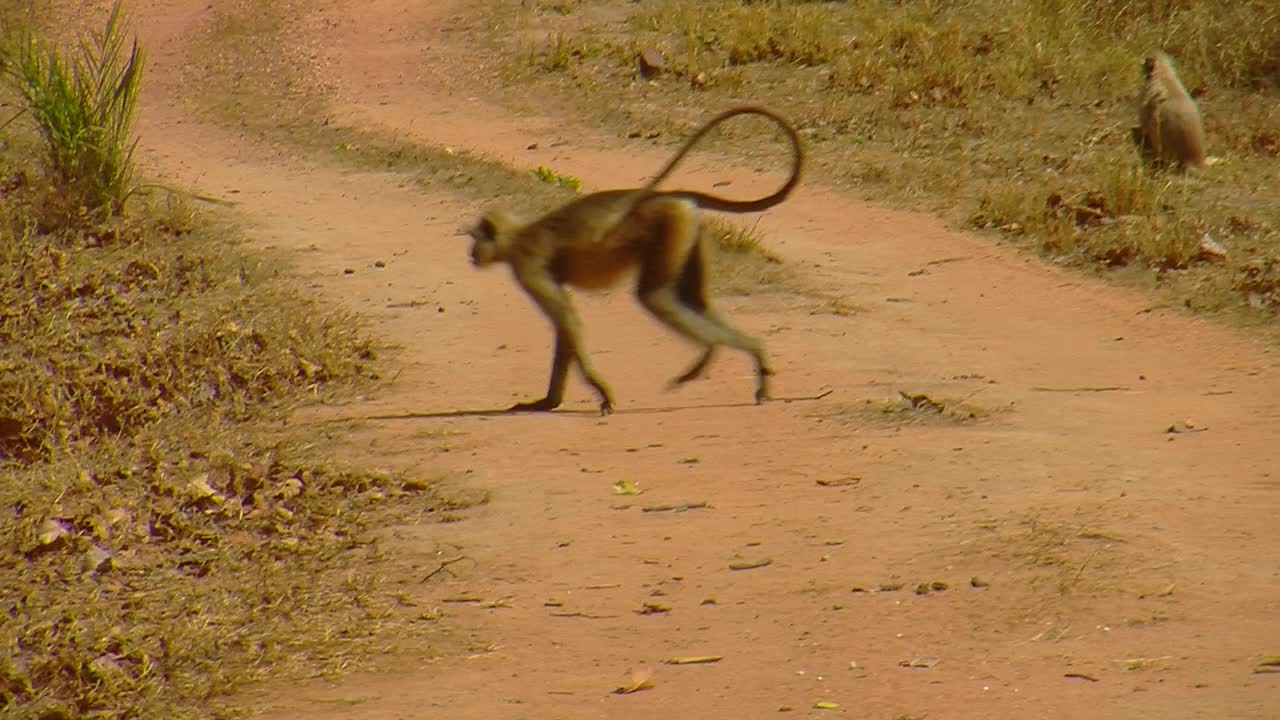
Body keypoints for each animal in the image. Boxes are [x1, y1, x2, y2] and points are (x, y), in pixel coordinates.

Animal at [463, 103, 798, 412]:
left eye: (476, 240)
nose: (471, 255)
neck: (518, 236)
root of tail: (669, 197)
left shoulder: (527, 266)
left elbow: (567, 320)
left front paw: (599, 393)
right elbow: (565, 327)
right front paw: (548, 402)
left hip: (669, 226)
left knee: (654, 297)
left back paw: (712, 348)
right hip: (687, 230)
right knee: (695, 300)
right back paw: (750, 351)